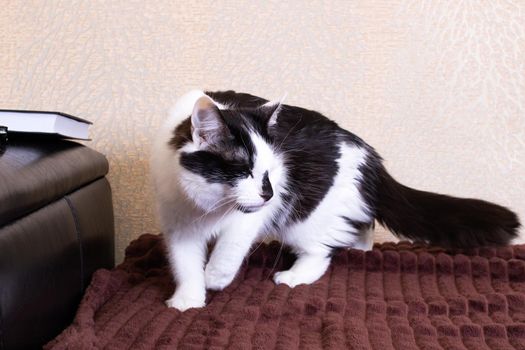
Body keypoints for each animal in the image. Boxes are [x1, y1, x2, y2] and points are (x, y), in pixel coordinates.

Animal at [151, 90, 520, 312]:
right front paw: (188, 298)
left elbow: (230, 248)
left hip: (304, 217)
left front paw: (215, 277)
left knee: (322, 252)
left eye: (270, 172)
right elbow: (185, 264)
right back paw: (362, 249)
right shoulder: (179, 226)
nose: (269, 193)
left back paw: (294, 276)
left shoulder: (250, 217)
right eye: (244, 170)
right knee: (360, 226)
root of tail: (368, 153)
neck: (205, 207)